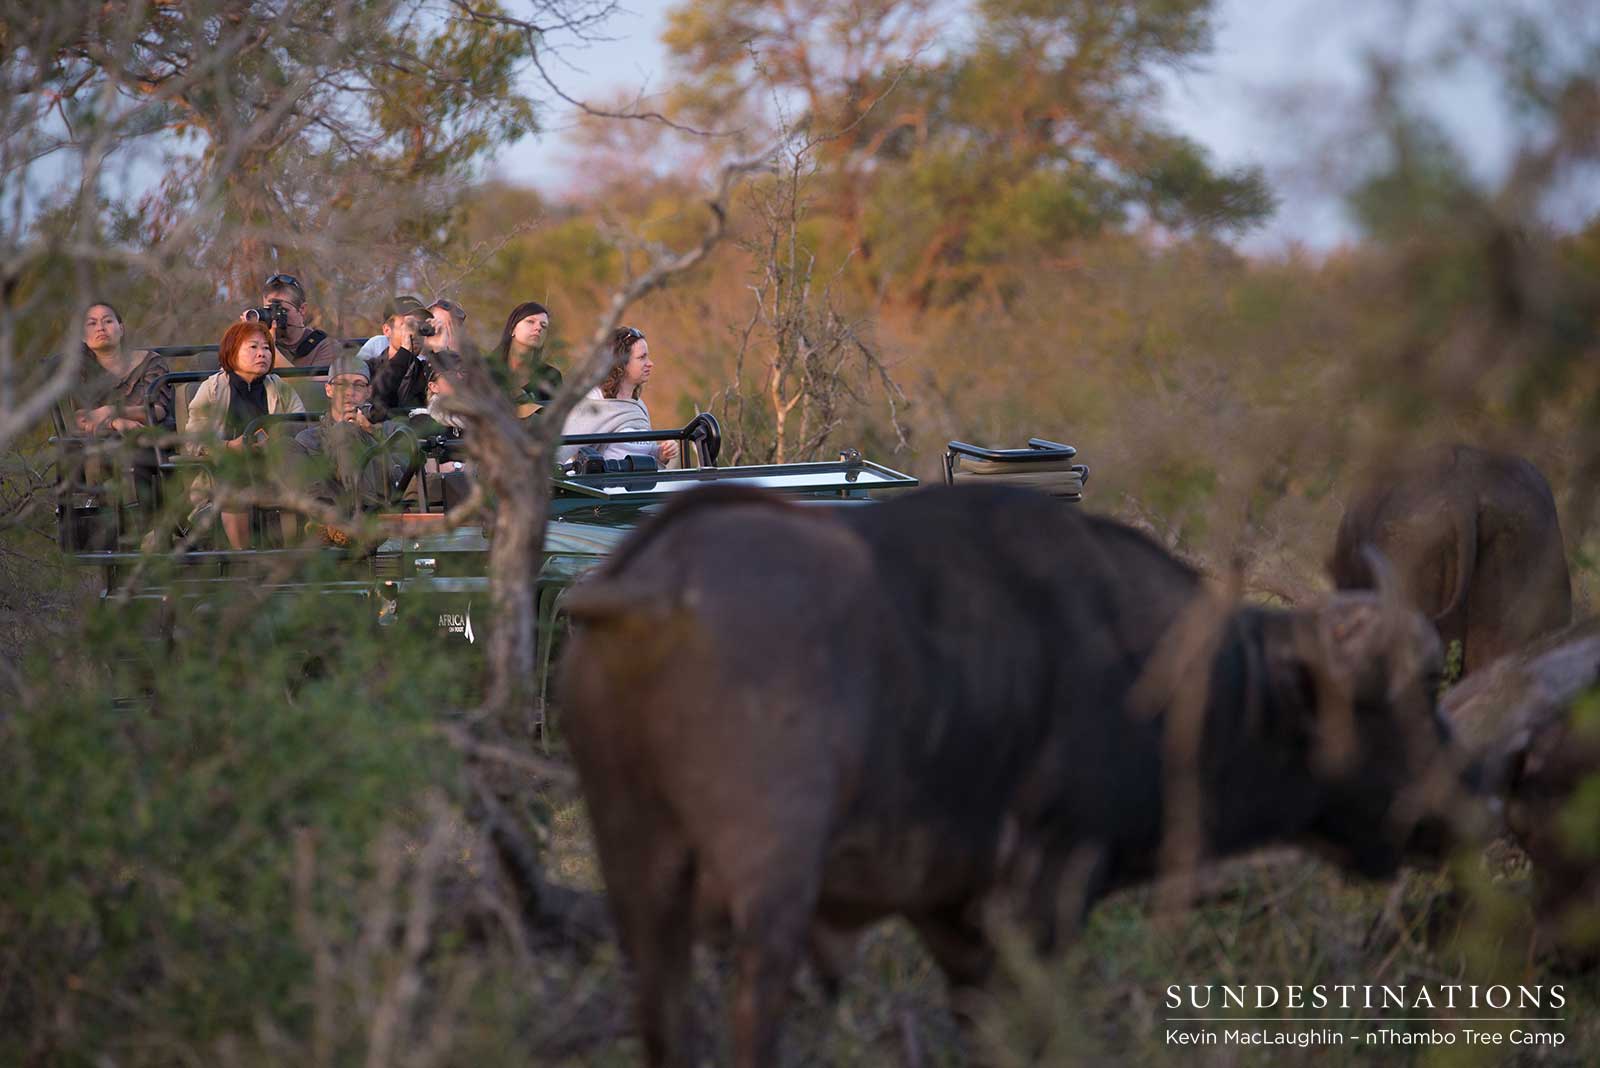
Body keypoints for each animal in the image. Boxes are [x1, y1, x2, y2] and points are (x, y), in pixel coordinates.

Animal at [560, 484, 1471, 1068]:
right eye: (1403, 695)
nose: (1463, 800)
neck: (1175, 675)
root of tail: (658, 582)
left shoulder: (953, 924)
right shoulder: (1045, 899)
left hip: (637, 873)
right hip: (769, 884)